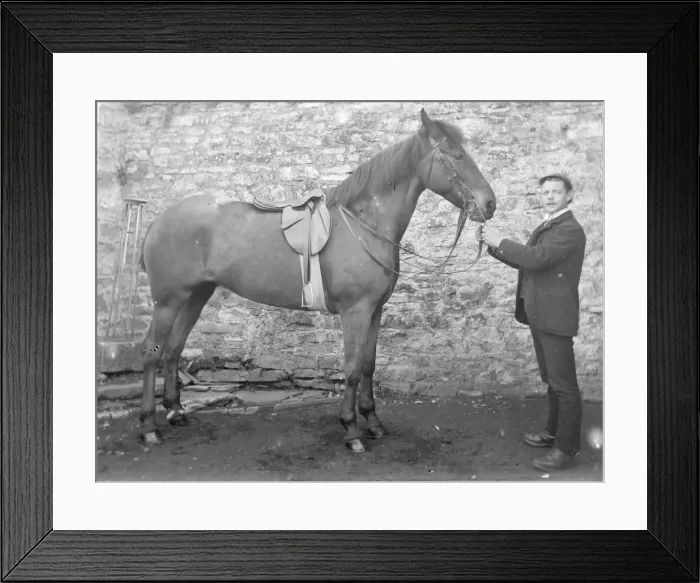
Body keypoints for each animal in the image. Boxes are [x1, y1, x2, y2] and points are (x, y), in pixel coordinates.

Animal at [137, 107, 497, 452]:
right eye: (456, 155)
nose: (489, 204)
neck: (366, 225)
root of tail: (160, 219)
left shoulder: (375, 311)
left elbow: (369, 364)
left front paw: (373, 422)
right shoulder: (356, 313)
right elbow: (351, 368)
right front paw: (351, 430)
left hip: (196, 295)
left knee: (174, 348)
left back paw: (176, 411)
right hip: (167, 301)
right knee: (152, 351)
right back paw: (149, 426)